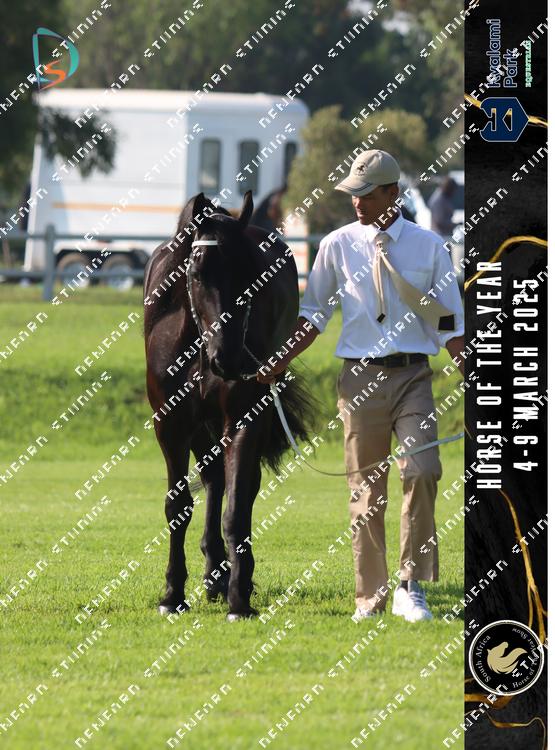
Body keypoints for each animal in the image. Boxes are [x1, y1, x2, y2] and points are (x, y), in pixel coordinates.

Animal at [143, 190, 316, 620]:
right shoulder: (171, 425)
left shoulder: (243, 419)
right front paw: (172, 593)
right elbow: (178, 506)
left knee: (241, 486)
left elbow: (236, 508)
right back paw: (213, 574)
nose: (231, 359)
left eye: (251, 276)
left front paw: (240, 597)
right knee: (213, 479)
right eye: (197, 272)